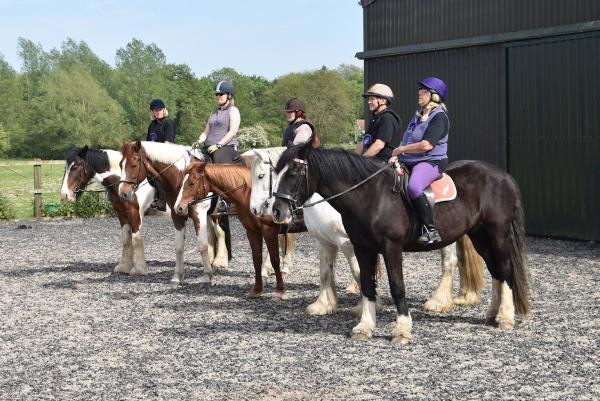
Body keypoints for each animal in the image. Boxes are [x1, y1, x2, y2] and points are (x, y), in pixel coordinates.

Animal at [118, 139, 229, 282]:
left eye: (133, 164)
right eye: (120, 165)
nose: (122, 193)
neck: (182, 178)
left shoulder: (198, 213)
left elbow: (202, 245)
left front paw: (207, 275)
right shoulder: (177, 215)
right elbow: (179, 246)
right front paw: (178, 275)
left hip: (216, 213)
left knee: (220, 233)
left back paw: (220, 261)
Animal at [272, 143, 528, 344]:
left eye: (294, 171)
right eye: (276, 172)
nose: (277, 211)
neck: (370, 195)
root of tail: (504, 176)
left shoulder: (391, 247)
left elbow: (397, 286)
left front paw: (402, 330)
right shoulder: (362, 247)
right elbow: (366, 284)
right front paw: (364, 327)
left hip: (498, 233)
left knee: (505, 269)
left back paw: (505, 318)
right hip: (480, 236)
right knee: (496, 271)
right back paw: (493, 314)